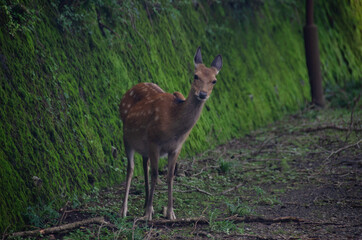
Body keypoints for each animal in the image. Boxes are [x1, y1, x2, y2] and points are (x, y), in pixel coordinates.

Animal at [119, 46, 221, 219]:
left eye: (214, 80)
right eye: (196, 75)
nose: (202, 94)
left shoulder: (176, 148)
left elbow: (170, 176)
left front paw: (170, 213)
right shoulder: (154, 141)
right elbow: (156, 175)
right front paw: (148, 214)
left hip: (143, 146)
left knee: (144, 165)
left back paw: (146, 205)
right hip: (127, 138)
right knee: (131, 169)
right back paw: (124, 210)